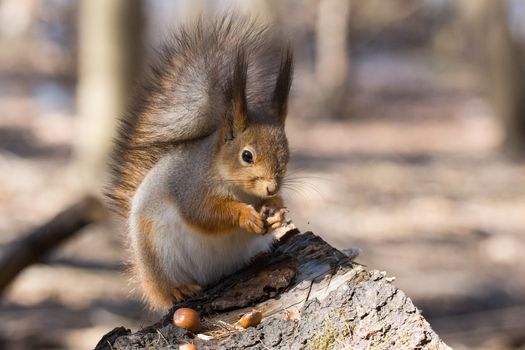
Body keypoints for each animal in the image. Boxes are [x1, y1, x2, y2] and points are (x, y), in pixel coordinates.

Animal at [105, 16, 294, 310]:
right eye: (247, 155)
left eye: (286, 154)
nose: (272, 188)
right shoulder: (190, 186)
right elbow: (204, 213)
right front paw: (246, 215)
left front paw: (276, 209)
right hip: (159, 255)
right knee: (163, 289)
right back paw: (177, 290)